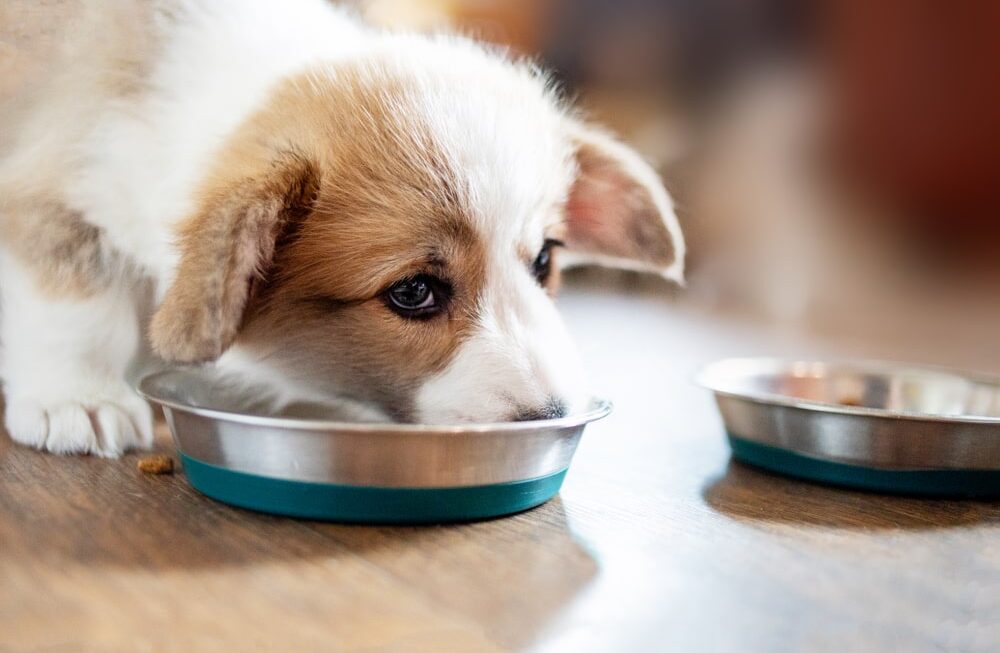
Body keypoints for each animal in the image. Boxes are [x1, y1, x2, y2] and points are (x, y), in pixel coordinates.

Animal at [0, 0, 680, 456]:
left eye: (543, 261)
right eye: (413, 292)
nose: (552, 413)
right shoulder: (53, 189)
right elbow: (78, 308)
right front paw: (78, 399)